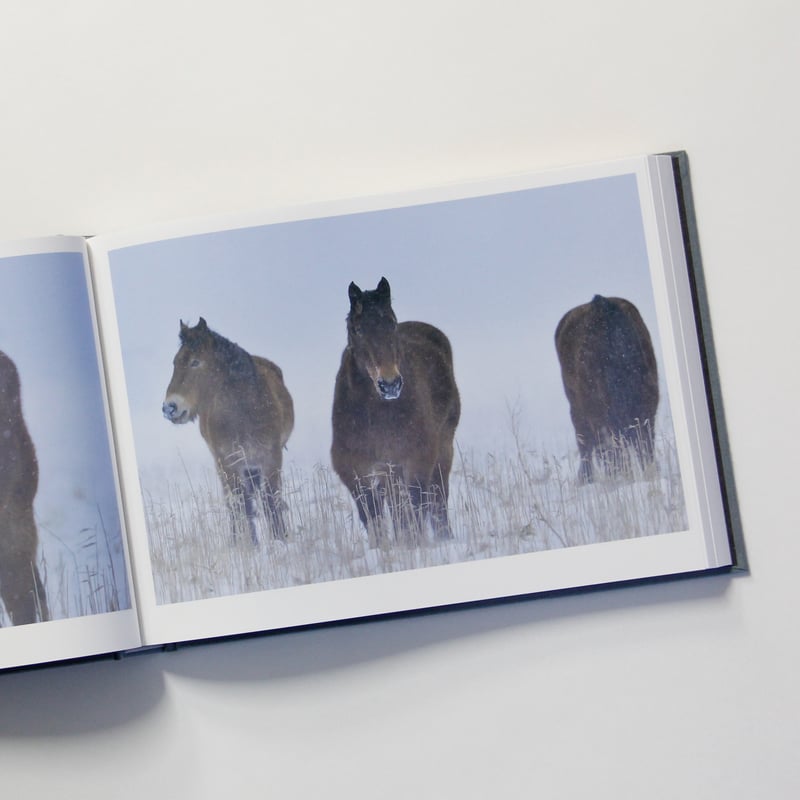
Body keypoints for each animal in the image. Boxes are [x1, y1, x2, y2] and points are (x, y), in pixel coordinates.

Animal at [162, 318, 294, 544]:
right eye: (175, 362)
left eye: (195, 362)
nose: (170, 407)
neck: (245, 414)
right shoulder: (229, 462)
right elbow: (240, 503)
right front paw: (249, 544)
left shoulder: (271, 458)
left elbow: (271, 501)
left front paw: (280, 539)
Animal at [331, 277, 461, 543]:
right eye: (357, 330)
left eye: (391, 322)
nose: (390, 384)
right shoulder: (355, 469)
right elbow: (372, 516)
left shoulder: (416, 458)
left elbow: (416, 509)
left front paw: (415, 545)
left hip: (442, 447)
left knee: (438, 497)